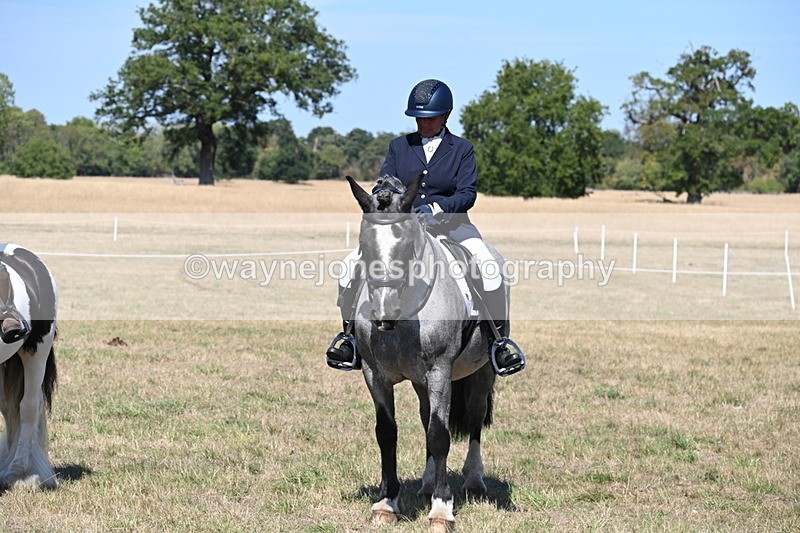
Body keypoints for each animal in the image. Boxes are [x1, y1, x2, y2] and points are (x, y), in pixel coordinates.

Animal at [344, 174, 507, 532]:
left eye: (406, 245)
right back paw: (428, 481)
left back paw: (474, 481)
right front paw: (386, 503)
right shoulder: (375, 374)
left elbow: (440, 434)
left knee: (474, 417)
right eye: (364, 244)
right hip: (420, 382)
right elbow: (387, 432)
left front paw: (442, 510)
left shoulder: (440, 373)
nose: (384, 313)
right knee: (424, 417)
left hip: (482, 371)